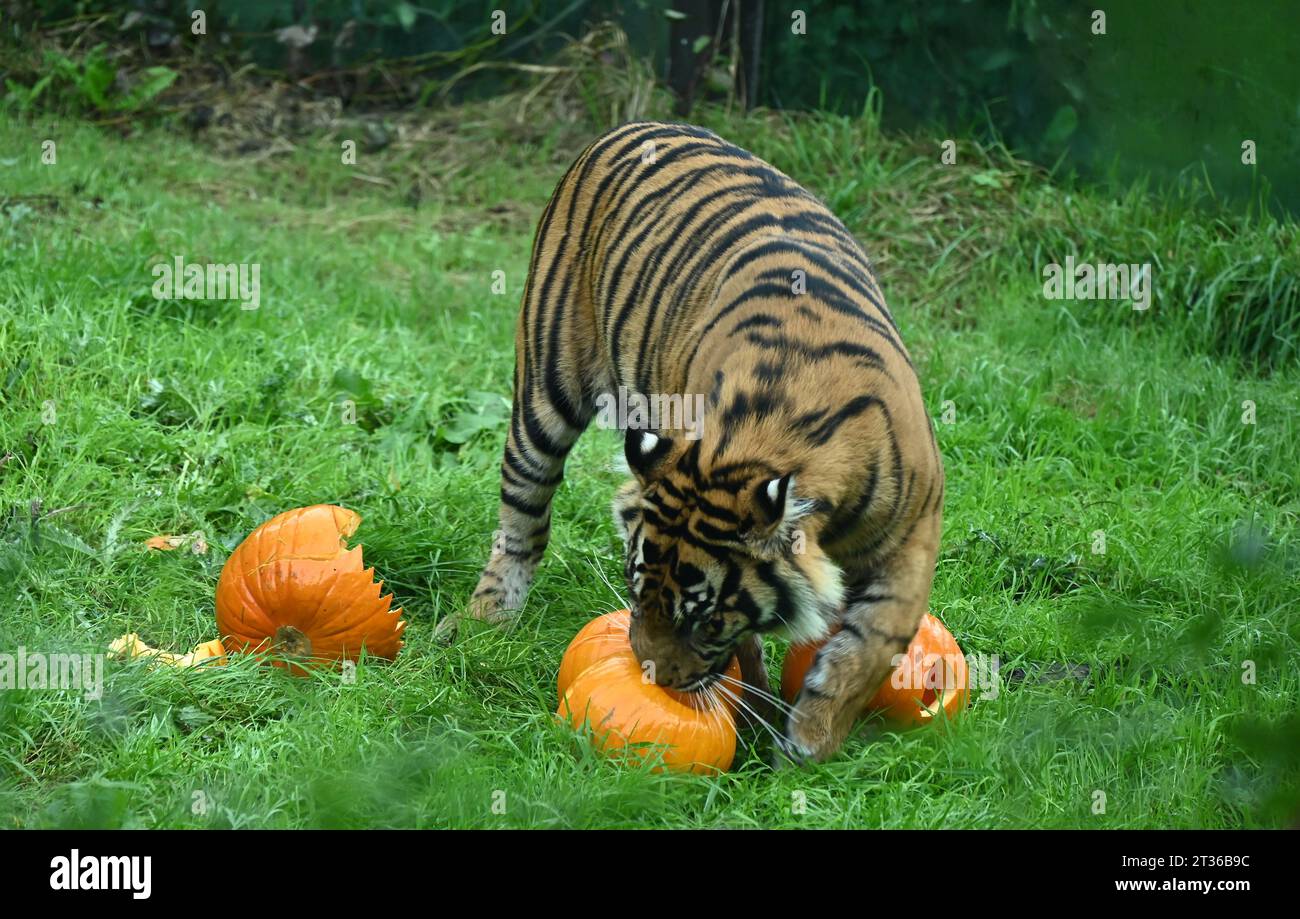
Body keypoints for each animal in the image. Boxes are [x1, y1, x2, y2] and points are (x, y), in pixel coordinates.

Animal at [467, 124, 946, 769]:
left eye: (706, 623)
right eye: (635, 590)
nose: (651, 676)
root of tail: (638, 125)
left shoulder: (913, 533)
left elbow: (869, 649)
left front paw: (809, 745)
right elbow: (758, 650)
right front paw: (760, 723)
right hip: (547, 386)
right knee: (522, 518)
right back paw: (486, 619)